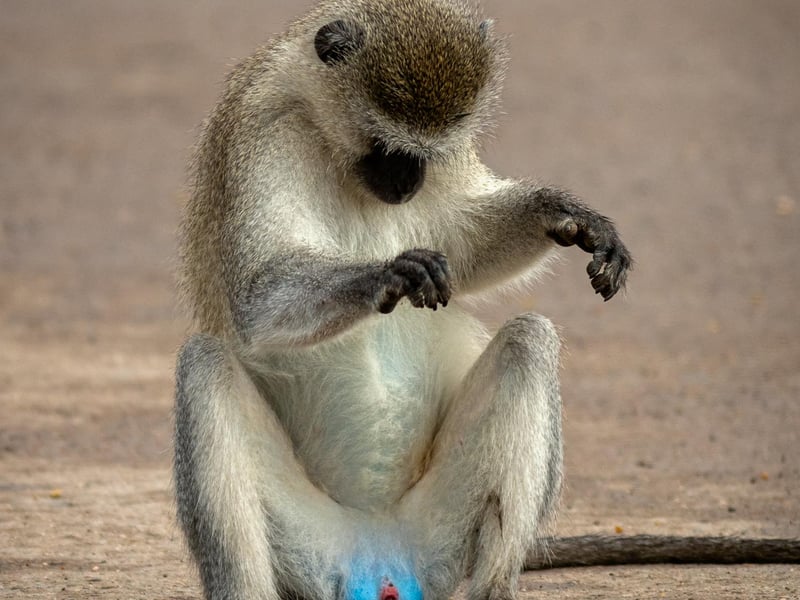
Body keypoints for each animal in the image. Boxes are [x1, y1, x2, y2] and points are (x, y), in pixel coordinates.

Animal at [173, 1, 798, 600]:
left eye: (431, 149)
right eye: (385, 145)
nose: (407, 184)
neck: (322, 126)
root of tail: (377, 549)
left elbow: (464, 242)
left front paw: (564, 212)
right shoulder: (265, 132)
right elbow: (258, 296)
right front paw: (391, 272)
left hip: (440, 532)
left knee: (528, 340)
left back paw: (495, 584)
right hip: (307, 541)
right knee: (204, 364)